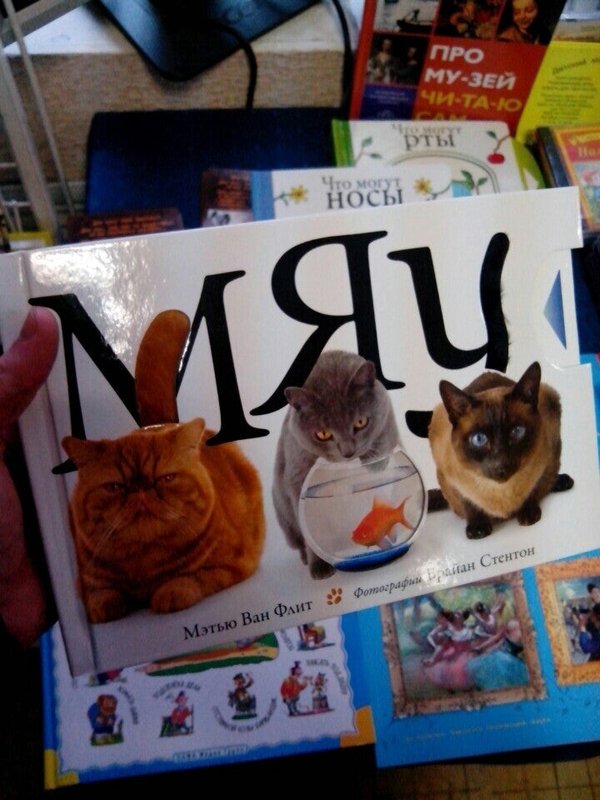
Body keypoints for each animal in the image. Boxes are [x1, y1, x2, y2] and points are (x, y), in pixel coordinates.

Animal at [61, 310, 266, 624]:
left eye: (166, 478)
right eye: (115, 486)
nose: (141, 490)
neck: (144, 569)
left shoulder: (233, 564)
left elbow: (191, 578)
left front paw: (169, 593)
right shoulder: (85, 582)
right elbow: (101, 596)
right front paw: (108, 606)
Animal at [272, 349, 400, 579]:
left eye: (360, 422)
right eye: (323, 434)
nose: (348, 452)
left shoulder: (387, 417)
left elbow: (383, 440)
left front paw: (373, 464)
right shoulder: (297, 474)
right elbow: (309, 530)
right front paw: (319, 566)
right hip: (284, 517)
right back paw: (306, 559)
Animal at [427, 361, 573, 540]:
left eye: (517, 431)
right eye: (479, 439)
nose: (501, 465)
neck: (501, 493)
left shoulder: (550, 453)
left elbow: (535, 488)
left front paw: (528, 514)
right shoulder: (448, 476)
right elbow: (468, 502)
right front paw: (478, 529)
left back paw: (563, 481)